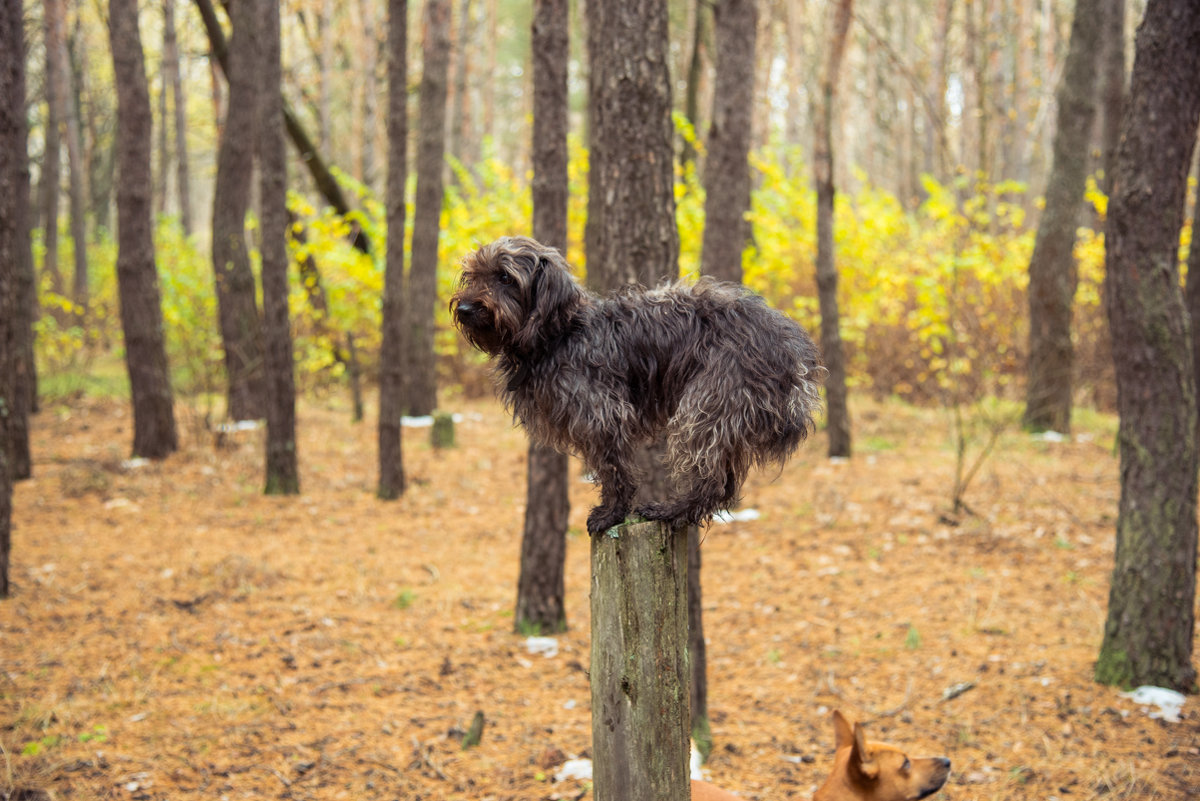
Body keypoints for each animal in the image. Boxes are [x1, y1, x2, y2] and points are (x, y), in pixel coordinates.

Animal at [451, 235, 825, 534]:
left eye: (504, 277)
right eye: (472, 275)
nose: (465, 308)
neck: (558, 334)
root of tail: (795, 352)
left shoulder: (602, 416)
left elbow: (615, 471)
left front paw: (612, 514)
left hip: (707, 408)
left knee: (711, 479)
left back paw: (672, 510)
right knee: (725, 484)